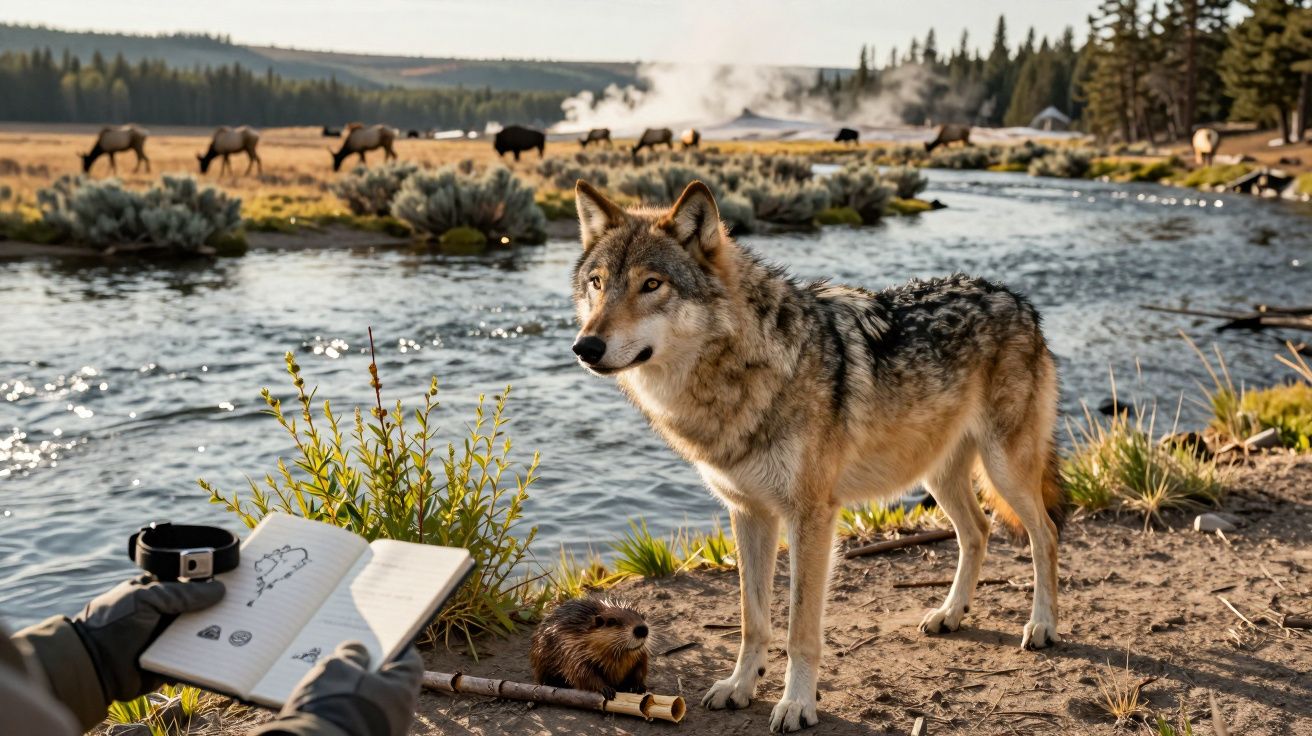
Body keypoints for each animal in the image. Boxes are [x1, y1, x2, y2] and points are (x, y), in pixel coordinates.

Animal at [570, 179, 1064, 733]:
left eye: (652, 284)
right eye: (597, 283)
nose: (585, 346)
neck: (743, 369)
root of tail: (1017, 298)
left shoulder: (811, 516)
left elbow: (799, 630)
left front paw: (796, 703)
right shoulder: (748, 513)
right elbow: (753, 620)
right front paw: (741, 686)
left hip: (1005, 469)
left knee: (1045, 534)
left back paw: (1041, 625)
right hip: (937, 476)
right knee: (977, 531)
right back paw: (950, 614)